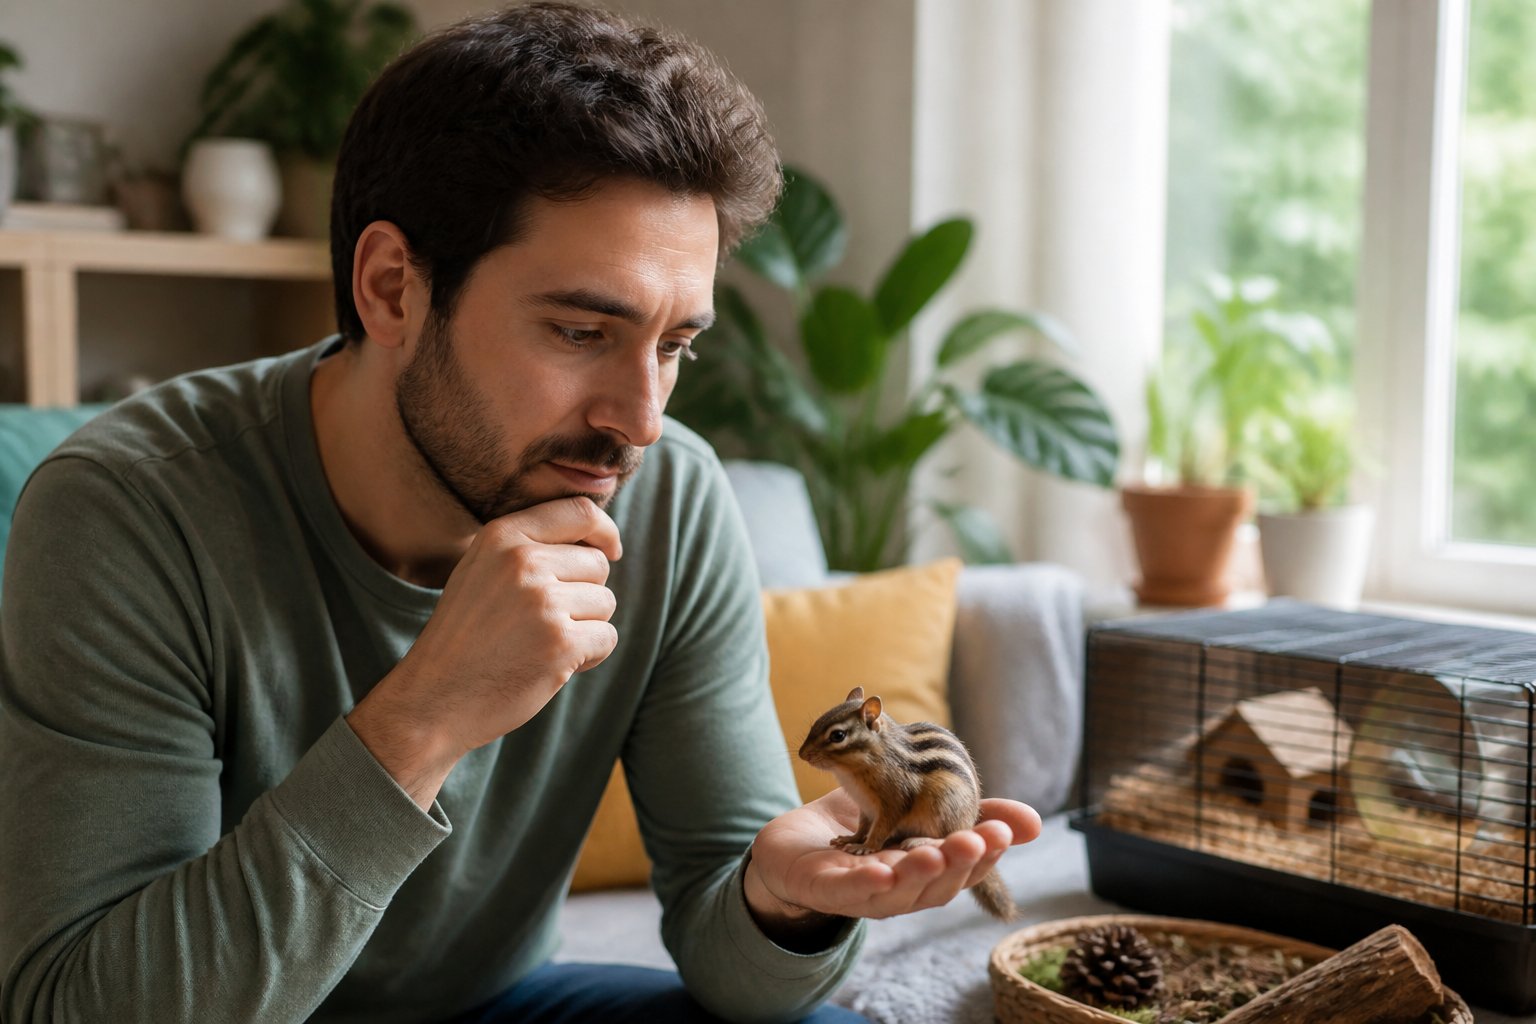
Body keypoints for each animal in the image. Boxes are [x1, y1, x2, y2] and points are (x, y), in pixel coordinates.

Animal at [796, 685, 1019, 922]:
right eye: (816, 723)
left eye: (838, 735)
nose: (802, 754)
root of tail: (970, 820)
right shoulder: (864, 807)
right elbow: (862, 826)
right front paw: (852, 838)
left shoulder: (894, 800)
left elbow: (880, 828)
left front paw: (866, 847)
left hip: (944, 807)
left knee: (949, 835)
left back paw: (920, 840)